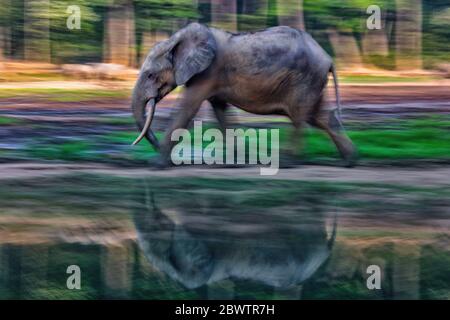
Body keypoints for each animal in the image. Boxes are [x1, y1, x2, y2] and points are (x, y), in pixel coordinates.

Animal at [132, 22, 356, 166]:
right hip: (313, 81)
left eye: (151, 75)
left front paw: (156, 164)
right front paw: (235, 163)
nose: (150, 147)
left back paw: (288, 162)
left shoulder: (208, 73)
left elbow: (186, 109)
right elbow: (221, 112)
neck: (175, 40)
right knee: (320, 117)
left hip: (305, 79)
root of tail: (328, 58)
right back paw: (349, 161)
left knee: (300, 118)